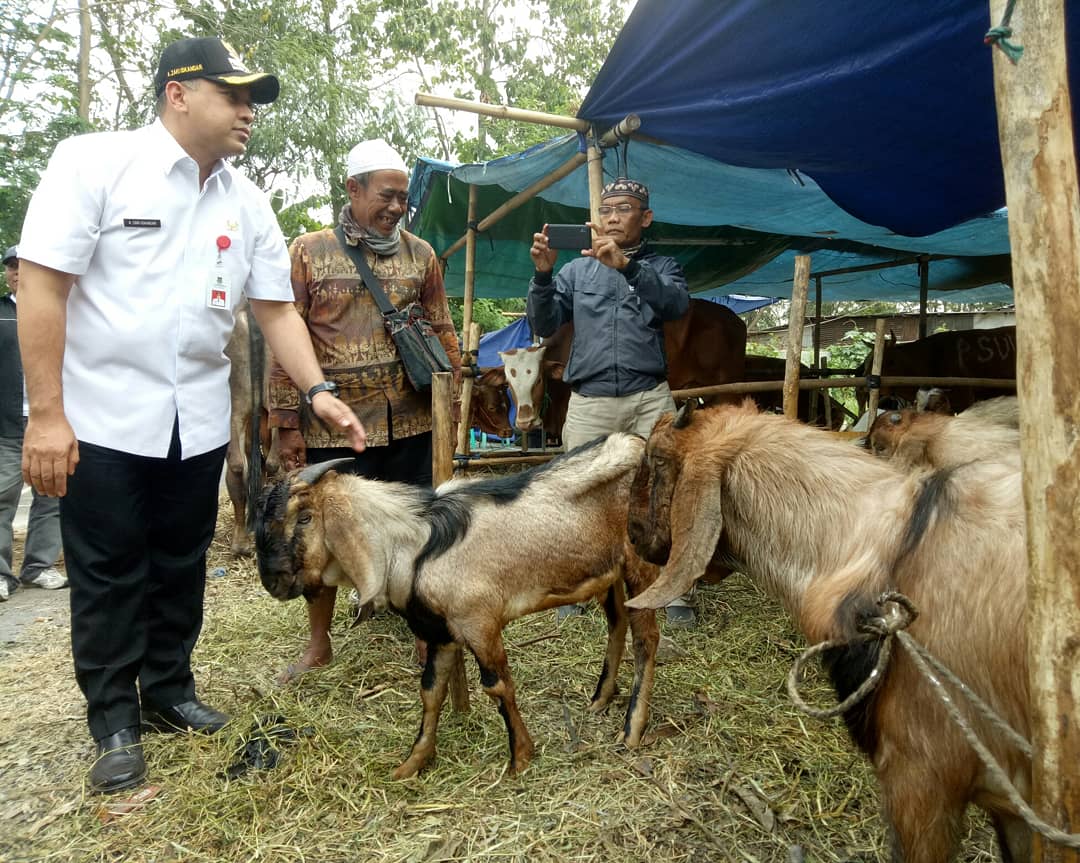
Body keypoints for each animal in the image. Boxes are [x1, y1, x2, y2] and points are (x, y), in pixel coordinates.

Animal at [254, 436, 656, 777]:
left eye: (305, 516)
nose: (272, 581)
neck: (414, 547)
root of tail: (639, 442)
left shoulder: (480, 624)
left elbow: (498, 686)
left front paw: (520, 758)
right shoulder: (439, 632)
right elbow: (430, 690)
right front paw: (413, 763)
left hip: (643, 565)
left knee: (645, 640)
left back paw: (631, 730)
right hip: (609, 572)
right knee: (617, 622)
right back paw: (601, 699)